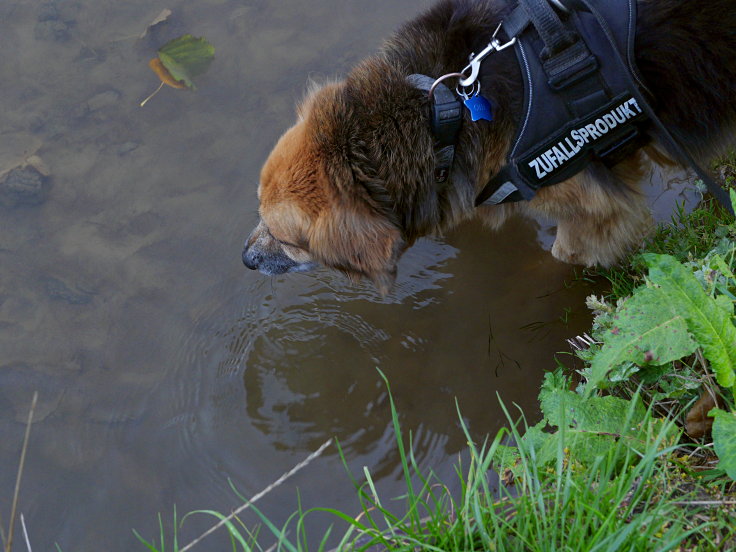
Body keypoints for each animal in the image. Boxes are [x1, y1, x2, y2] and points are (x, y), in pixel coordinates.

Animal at [242, 0, 736, 294]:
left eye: (289, 240)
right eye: (258, 207)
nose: (246, 259)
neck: (442, 109)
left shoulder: (597, 208)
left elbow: (563, 255)